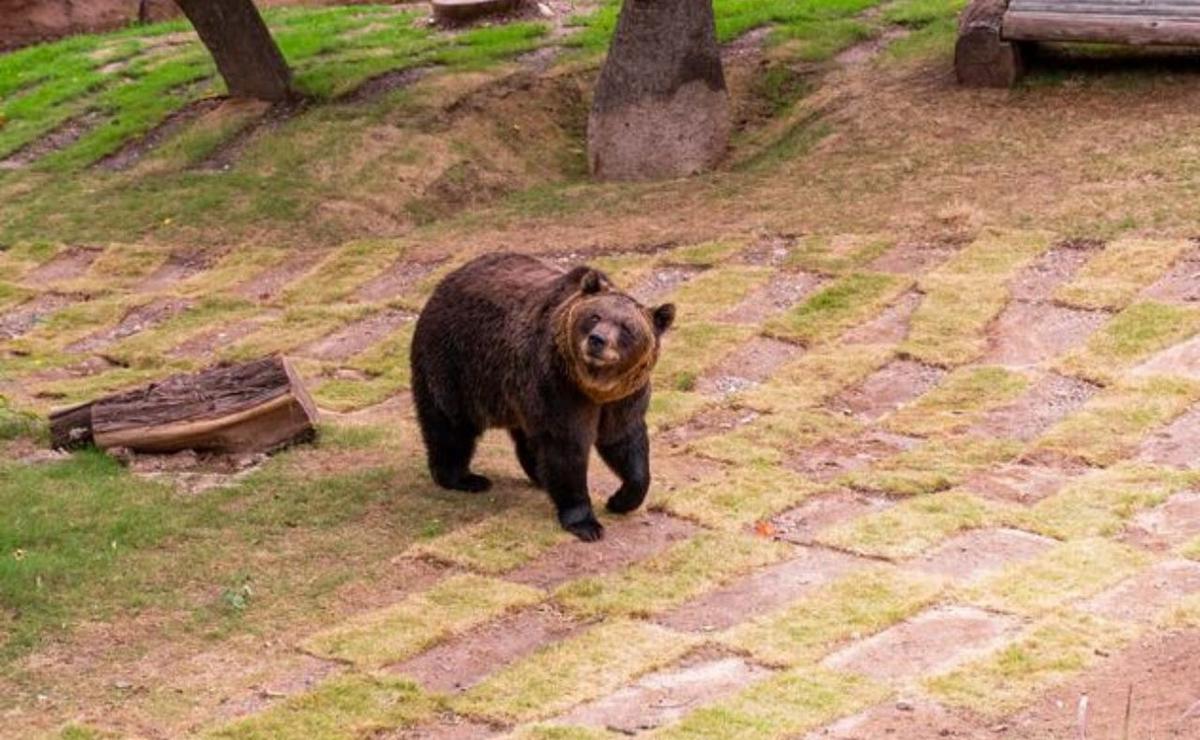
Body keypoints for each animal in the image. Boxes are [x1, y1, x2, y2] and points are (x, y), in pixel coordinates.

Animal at [410, 252, 675, 541]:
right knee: (449, 424)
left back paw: (537, 476)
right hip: (456, 363)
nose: (597, 340)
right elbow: (566, 447)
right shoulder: (559, 386)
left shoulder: (623, 398)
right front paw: (586, 523)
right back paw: (464, 478)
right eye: (595, 316)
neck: (594, 386)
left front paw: (620, 500)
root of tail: (446, 282)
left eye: (626, 327)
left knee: (528, 436)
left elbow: (625, 442)